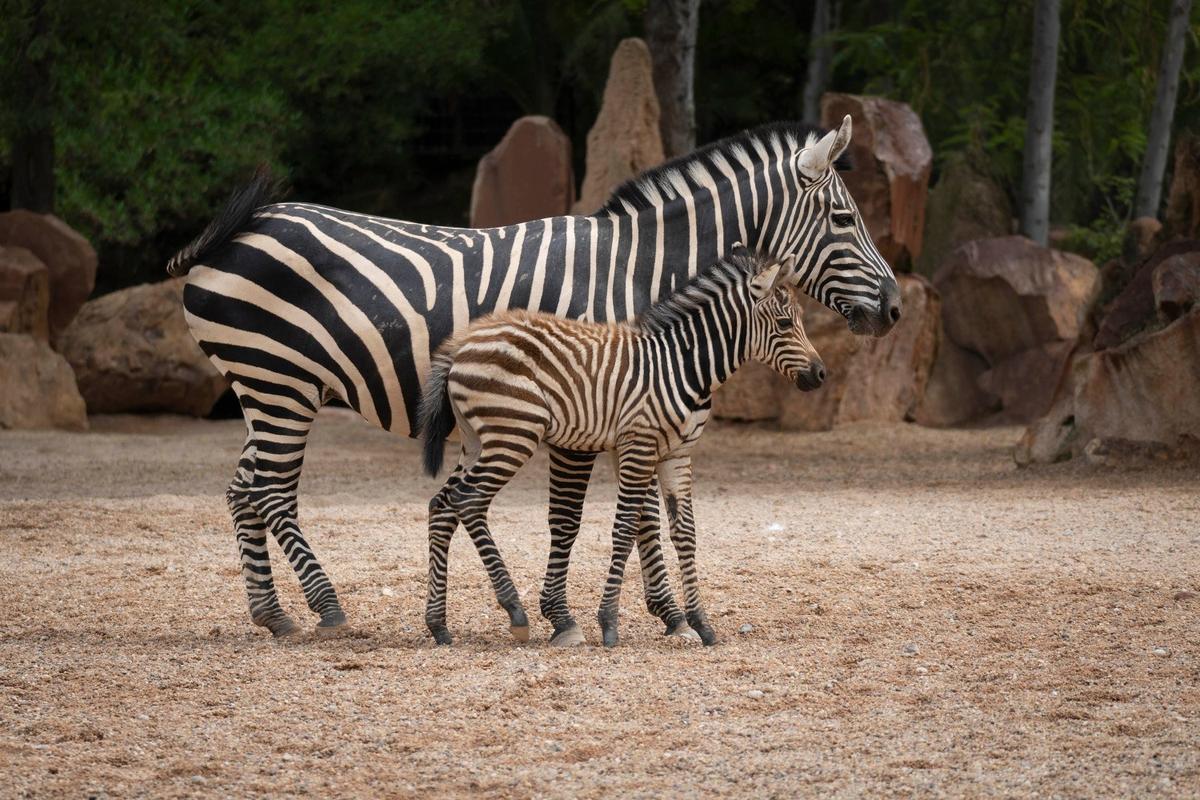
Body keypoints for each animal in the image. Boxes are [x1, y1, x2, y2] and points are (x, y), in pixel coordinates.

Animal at [418, 248, 824, 647]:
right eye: (784, 324)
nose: (821, 375)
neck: (682, 365)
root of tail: (462, 342)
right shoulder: (639, 443)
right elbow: (626, 526)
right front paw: (609, 622)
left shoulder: (677, 453)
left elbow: (686, 532)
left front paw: (700, 623)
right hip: (513, 434)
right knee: (469, 502)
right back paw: (515, 611)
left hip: (477, 441)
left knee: (442, 505)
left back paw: (439, 625)